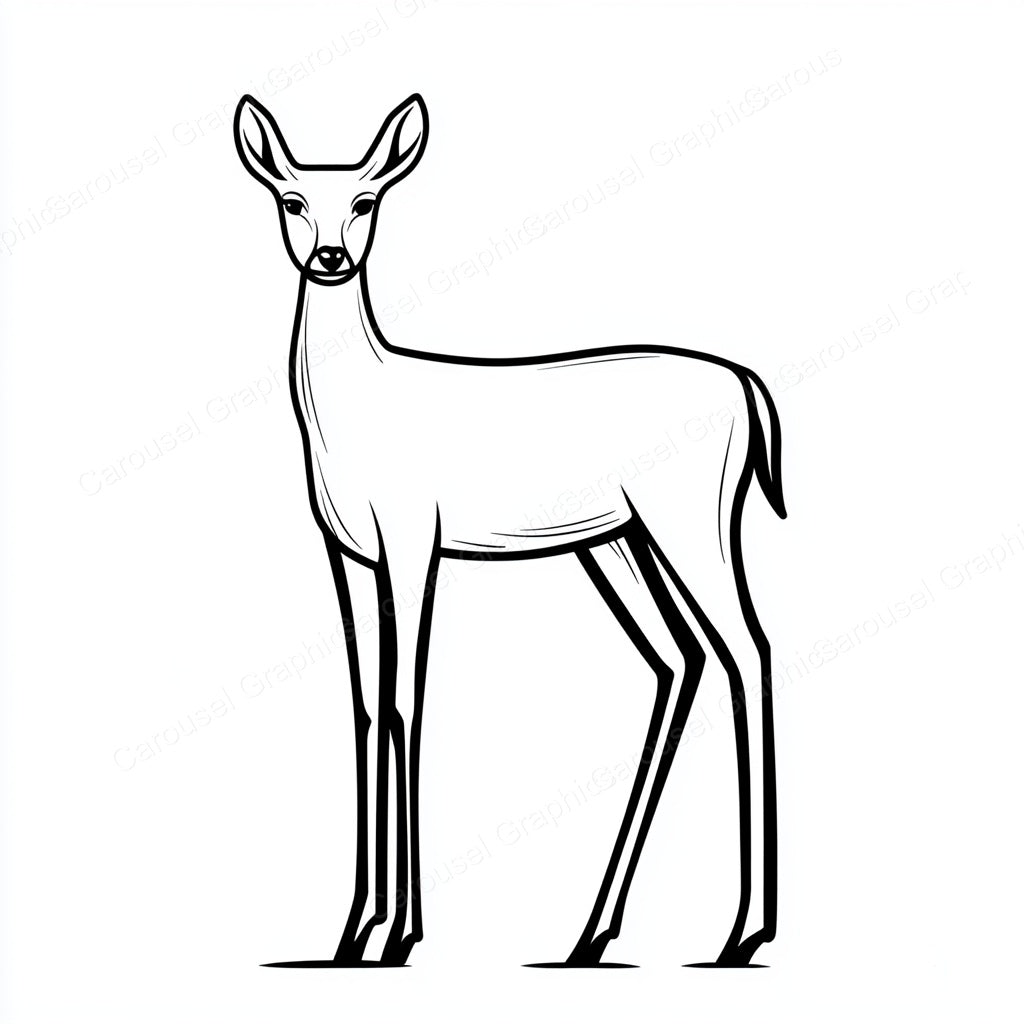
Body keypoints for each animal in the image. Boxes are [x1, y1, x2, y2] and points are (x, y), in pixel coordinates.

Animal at [234, 92, 787, 969]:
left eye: (367, 200)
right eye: (290, 200)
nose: (329, 257)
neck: (355, 410)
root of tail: (748, 389)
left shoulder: (413, 542)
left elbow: (407, 704)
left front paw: (401, 935)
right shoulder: (346, 554)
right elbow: (364, 709)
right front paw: (351, 932)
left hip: (689, 518)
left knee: (749, 651)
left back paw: (742, 932)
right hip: (618, 541)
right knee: (682, 661)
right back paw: (591, 934)